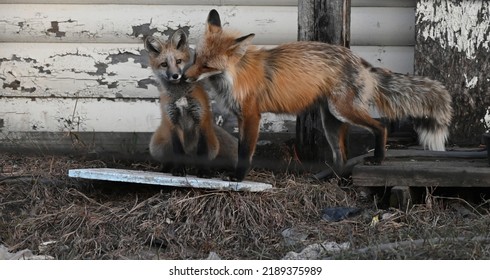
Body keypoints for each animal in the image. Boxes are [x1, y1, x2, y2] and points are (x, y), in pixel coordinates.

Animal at [145, 29, 236, 177]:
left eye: (178, 61)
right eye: (164, 64)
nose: (175, 75)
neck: (181, 94)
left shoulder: (200, 120)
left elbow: (202, 152)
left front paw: (203, 172)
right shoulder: (172, 123)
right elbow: (178, 151)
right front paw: (179, 170)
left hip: (213, 145)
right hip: (156, 145)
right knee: (170, 159)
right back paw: (168, 169)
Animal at [186, 9, 454, 182]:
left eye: (207, 65)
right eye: (196, 57)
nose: (184, 76)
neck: (234, 76)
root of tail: (359, 60)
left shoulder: (252, 115)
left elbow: (244, 152)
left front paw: (238, 178)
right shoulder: (242, 117)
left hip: (342, 111)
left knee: (380, 127)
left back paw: (378, 158)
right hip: (331, 121)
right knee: (341, 158)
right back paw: (328, 179)